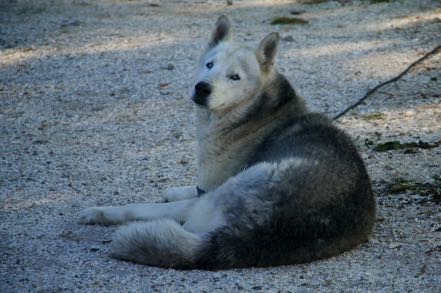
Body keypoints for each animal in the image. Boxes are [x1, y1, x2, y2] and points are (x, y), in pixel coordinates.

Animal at [80, 15, 374, 266]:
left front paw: (99, 212)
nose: (202, 88)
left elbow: (144, 206)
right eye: (210, 65)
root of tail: (256, 233)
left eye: (235, 77)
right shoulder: (208, 185)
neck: (256, 112)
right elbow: (192, 187)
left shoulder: (203, 194)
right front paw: (174, 189)